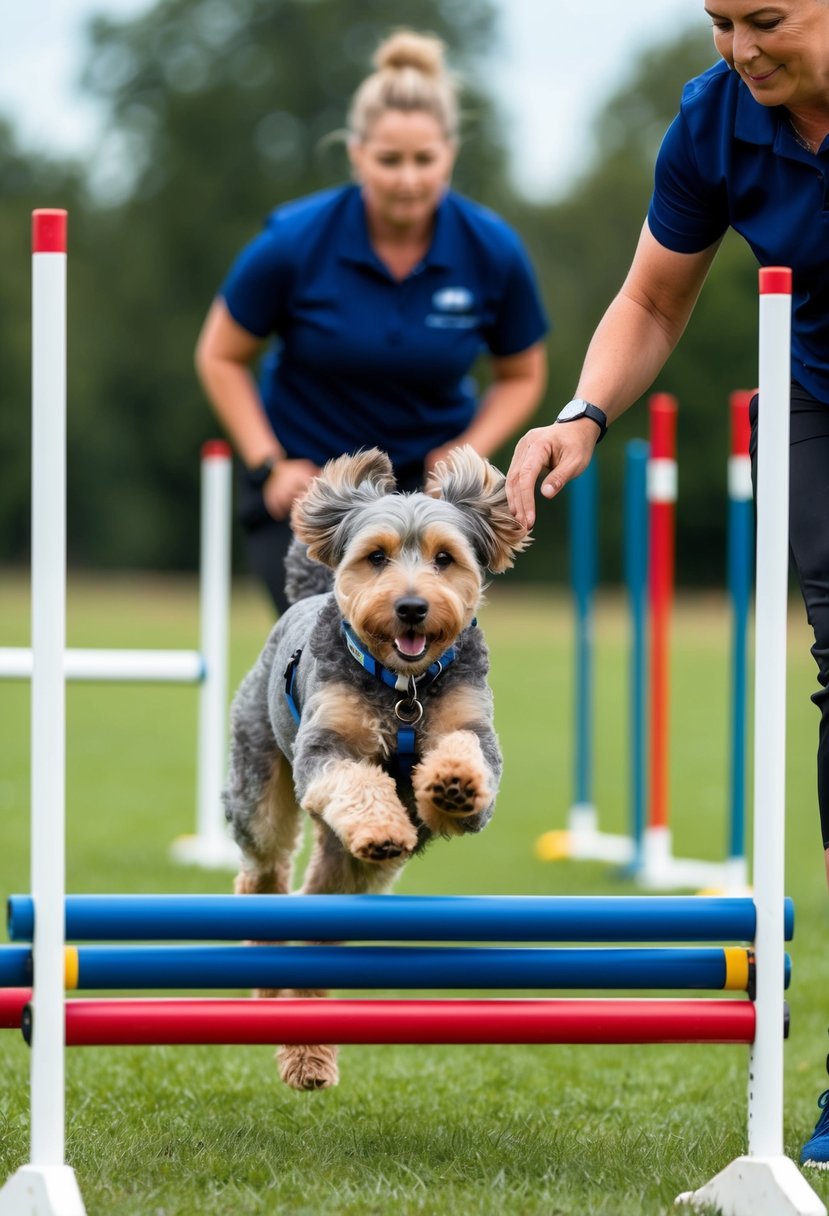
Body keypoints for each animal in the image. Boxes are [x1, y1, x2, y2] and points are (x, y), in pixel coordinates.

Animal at [222, 447, 525, 1094]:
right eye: (376, 556)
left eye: (445, 557)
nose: (411, 607)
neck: (403, 688)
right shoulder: (323, 747)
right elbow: (356, 781)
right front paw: (384, 825)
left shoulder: (475, 728)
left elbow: (466, 758)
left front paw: (451, 785)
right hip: (256, 785)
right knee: (264, 870)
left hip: (354, 878)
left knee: (317, 919)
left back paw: (307, 1055)